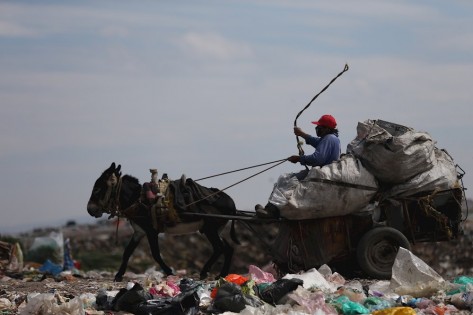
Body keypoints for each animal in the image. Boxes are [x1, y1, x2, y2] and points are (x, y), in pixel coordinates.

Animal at [86, 163, 238, 282]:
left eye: (97, 189)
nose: (89, 209)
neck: (138, 201)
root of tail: (231, 202)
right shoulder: (139, 231)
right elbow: (127, 252)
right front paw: (119, 275)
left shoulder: (151, 231)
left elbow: (155, 254)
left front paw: (170, 272)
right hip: (216, 229)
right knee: (228, 248)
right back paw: (222, 275)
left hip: (210, 229)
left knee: (219, 248)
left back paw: (205, 272)